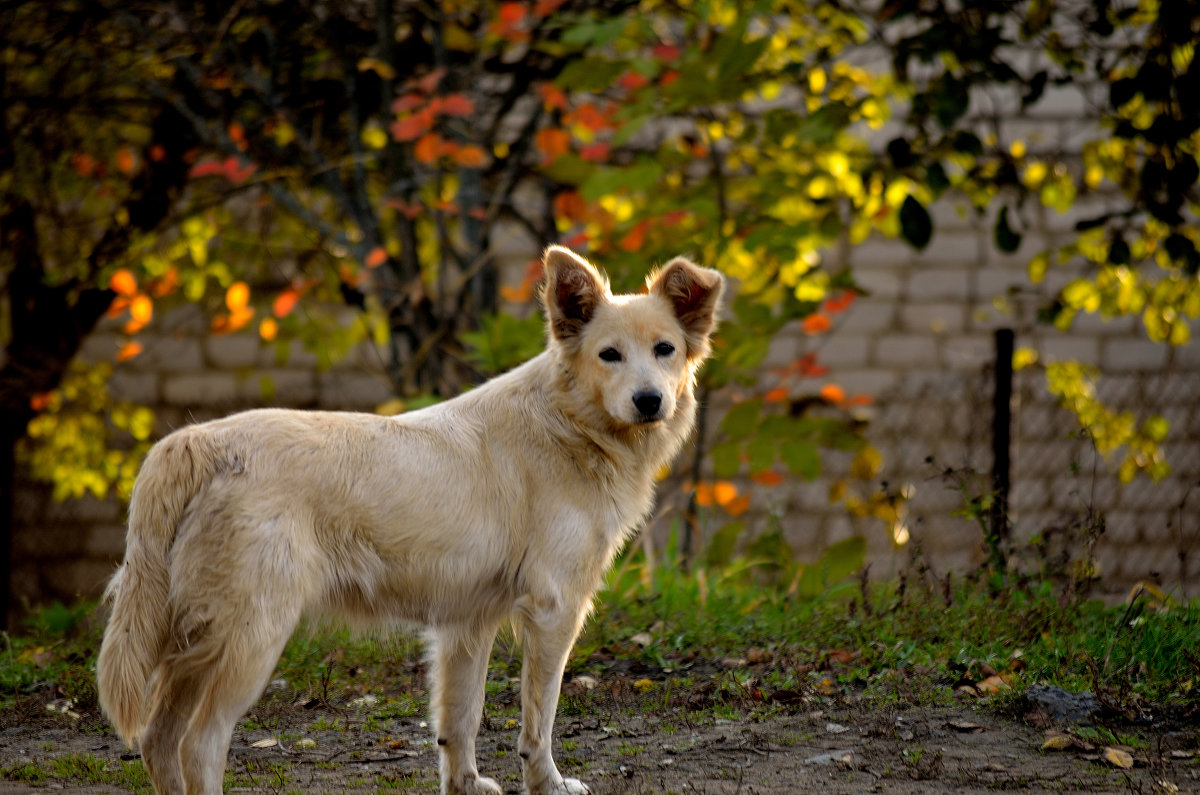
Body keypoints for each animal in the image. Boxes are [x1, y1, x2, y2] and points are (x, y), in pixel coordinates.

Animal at [98, 246, 720, 792]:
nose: (649, 401)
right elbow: (538, 723)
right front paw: (549, 784)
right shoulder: (554, 611)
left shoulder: (467, 623)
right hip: (251, 640)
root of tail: (194, 442)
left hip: (194, 642)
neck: (569, 423)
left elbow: (460, 722)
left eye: (664, 349)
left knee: (157, 741)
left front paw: (465, 785)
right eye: (609, 354)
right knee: (198, 746)